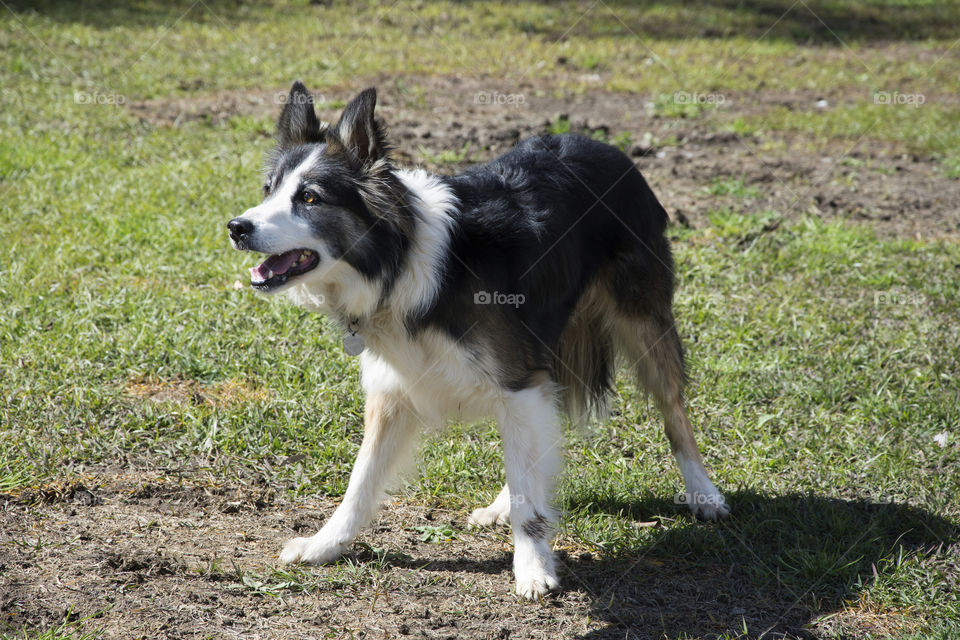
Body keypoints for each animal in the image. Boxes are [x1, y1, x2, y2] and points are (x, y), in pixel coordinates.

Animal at [229, 81, 728, 600]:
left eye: (309, 197)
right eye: (268, 190)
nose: (237, 228)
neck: (402, 262)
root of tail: (611, 149)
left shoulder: (516, 380)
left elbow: (529, 491)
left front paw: (533, 567)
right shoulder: (395, 391)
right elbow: (360, 482)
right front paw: (325, 544)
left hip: (643, 324)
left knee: (673, 411)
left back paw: (704, 493)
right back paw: (502, 504)